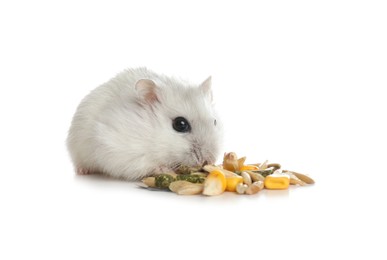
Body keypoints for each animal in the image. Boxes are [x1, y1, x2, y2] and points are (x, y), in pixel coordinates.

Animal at [67, 68, 224, 180]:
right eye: (180, 124)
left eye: (214, 121)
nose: (209, 160)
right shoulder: (116, 148)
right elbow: (146, 163)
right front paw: (166, 170)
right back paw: (83, 171)